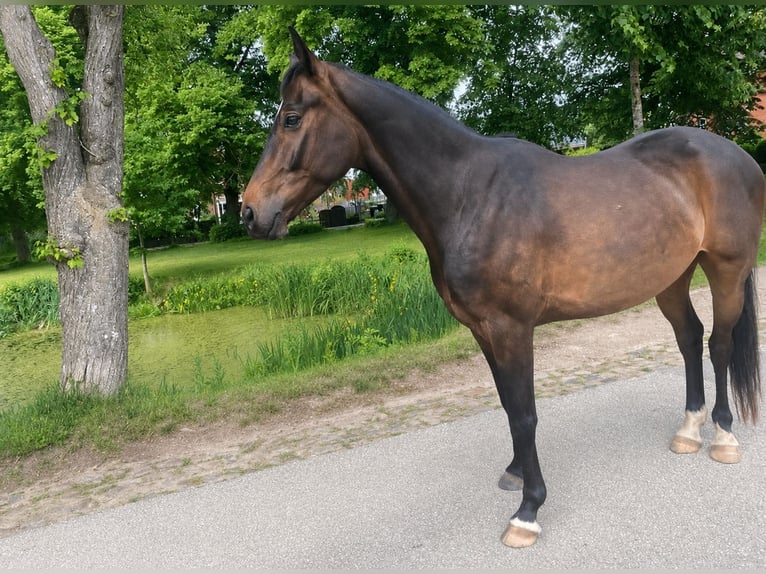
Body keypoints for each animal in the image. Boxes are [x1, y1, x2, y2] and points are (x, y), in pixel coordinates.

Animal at [241, 28, 765, 548]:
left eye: (291, 118)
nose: (249, 213)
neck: (470, 196)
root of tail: (739, 157)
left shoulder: (512, 327)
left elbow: (525, 412)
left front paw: (528, 511)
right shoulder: (481, 328)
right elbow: (507, 404)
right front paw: (516, 472)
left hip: (725, 270)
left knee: (718, 344)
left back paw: (722, 437)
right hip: (672, 278)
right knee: (690, 338)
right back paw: (689, 430)